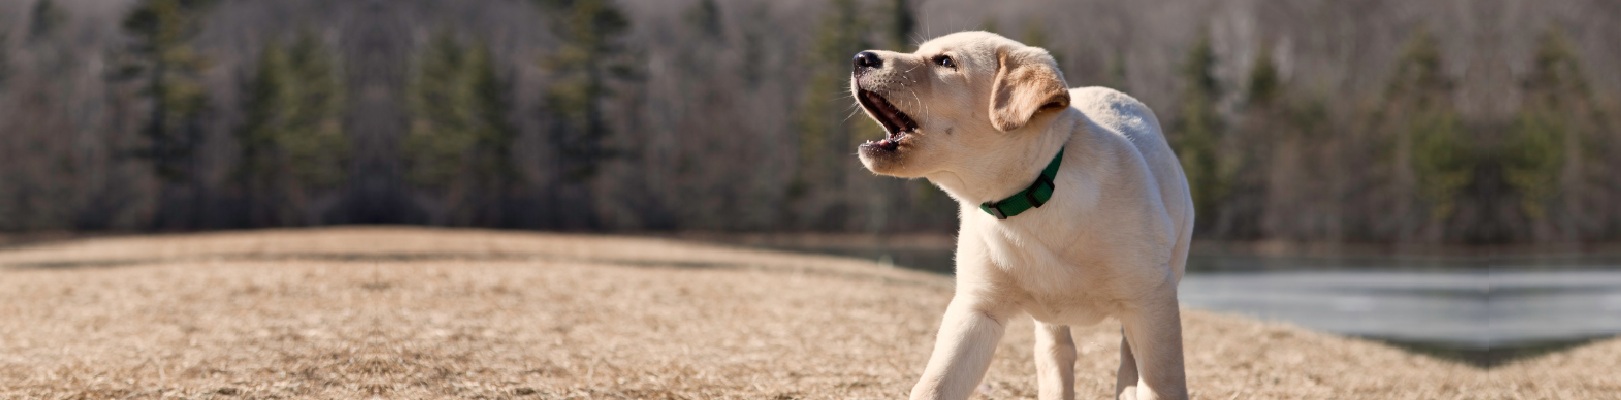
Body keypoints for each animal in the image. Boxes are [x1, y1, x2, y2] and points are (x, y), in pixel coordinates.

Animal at [849, 31, 1193, 400]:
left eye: (945, 62)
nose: (860, 58)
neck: (1031, 199)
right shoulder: (976, 309)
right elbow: (934, 386)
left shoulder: (1152, 301)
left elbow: (1161, 384)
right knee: (1057, 356)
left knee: (1128, 363)